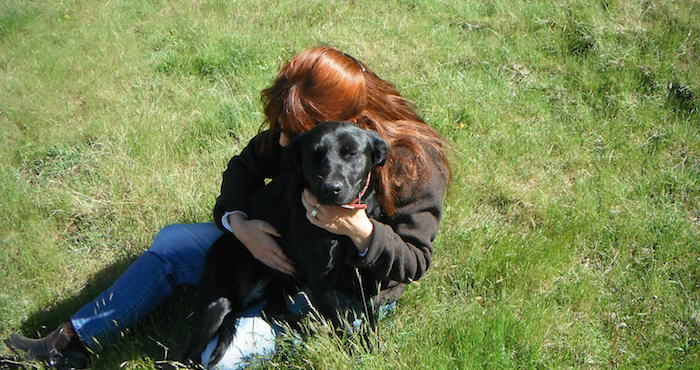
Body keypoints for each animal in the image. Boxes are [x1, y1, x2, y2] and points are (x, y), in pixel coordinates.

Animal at [186, 122, 392, 368]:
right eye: (314, 154)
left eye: (351, 152)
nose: (331, 188)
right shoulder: (321, 279)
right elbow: (340, 322)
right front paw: (355, 352)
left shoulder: (368, 273)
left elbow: (370, 316)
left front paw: (373, 347)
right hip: (217, 305)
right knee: (190, 354)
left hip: (279, 283)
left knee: (271, 311)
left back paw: (306, 323)